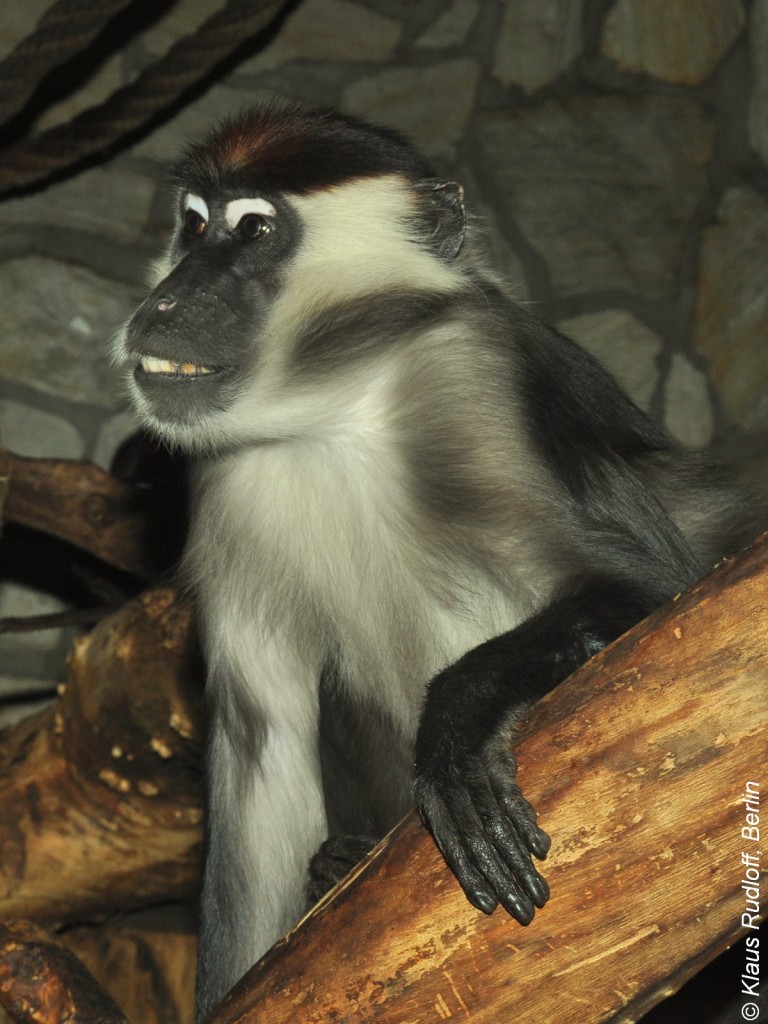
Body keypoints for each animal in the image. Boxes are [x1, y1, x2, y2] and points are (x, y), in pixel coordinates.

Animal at [112, 101, 765, 1015]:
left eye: (254, 232)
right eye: (194, 225)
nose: (166, 299)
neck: (334, 406)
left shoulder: (470, 371)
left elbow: (654, 587)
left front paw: (456, 733)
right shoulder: (221, 479)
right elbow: (262, 742)